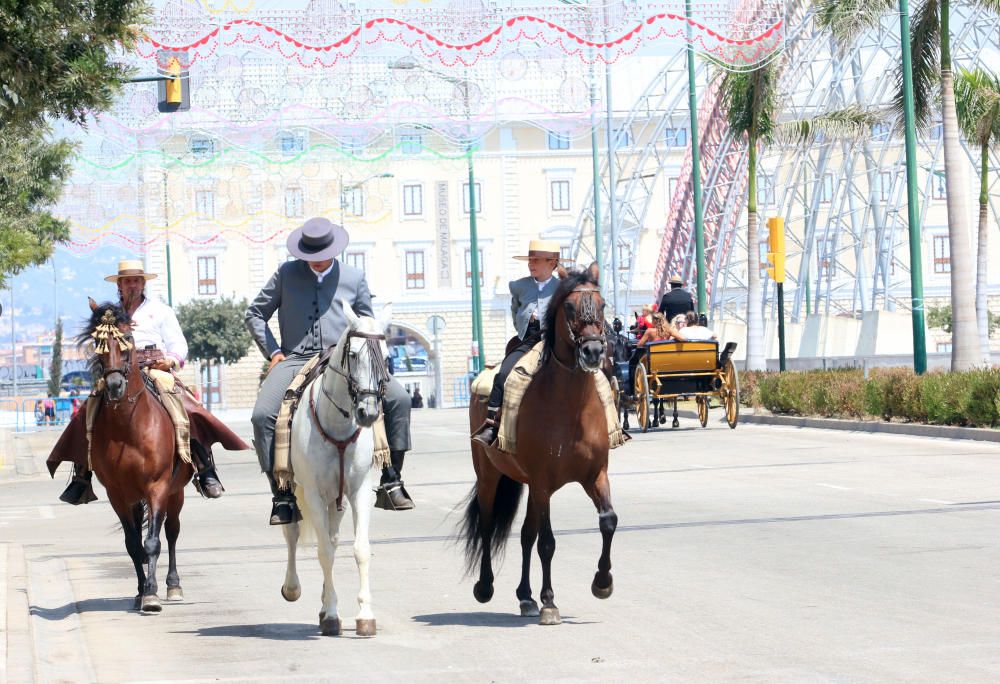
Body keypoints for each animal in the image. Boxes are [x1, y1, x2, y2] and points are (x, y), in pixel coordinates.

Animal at [282, 302, 394, 640]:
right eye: (354, 355)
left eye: (387, 357)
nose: (368, 413)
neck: (338, 424)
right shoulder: (314, 495)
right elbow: (324, 553)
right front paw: (332, 614)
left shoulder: (358, 492)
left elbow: (359, 550)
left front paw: (365, 615)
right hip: (295, 492)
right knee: (293, 533)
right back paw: (293, 588)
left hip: (337, 498)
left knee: (330, 537)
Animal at [462, 264, 616, 628]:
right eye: (570, 307)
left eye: (602, 304)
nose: (593, 352)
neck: (571, 405)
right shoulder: (544, 481)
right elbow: (547, 542)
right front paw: (549, 602)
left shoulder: (595, 475)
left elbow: (608, 521)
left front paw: (602, 582)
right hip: (490, 476)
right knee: (488, 526)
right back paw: (486, 587)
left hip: (530, 486)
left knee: (525, 534)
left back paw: (525, 596)